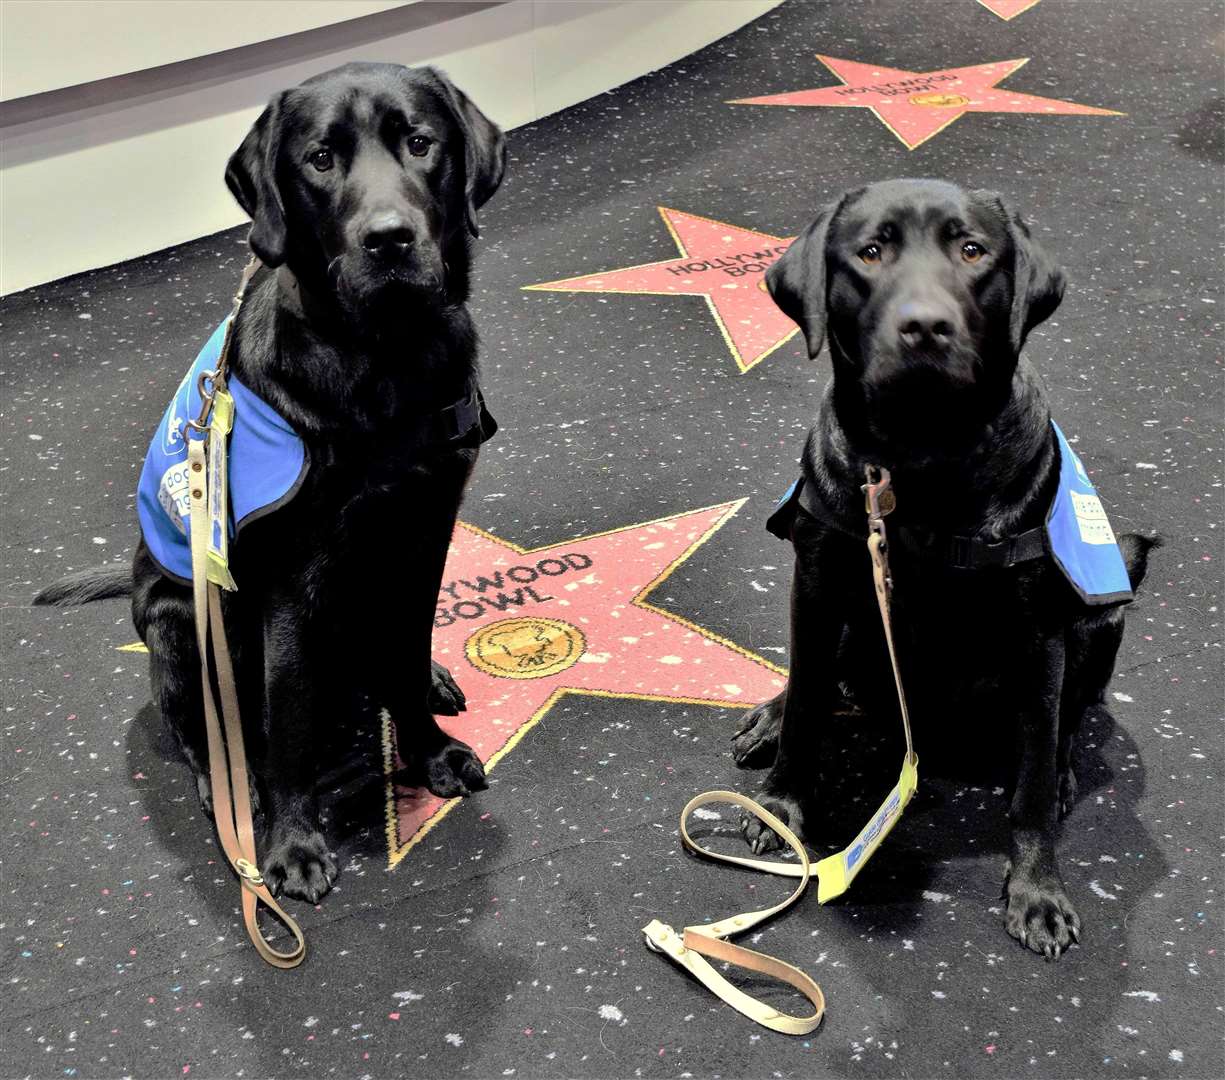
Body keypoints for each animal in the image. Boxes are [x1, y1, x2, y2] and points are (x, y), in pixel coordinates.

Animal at [34, 65, 502, 901]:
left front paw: (429, 750)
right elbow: (286, 724)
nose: (389, 238)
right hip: (186, 619)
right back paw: (233, 791)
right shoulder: (290, 584)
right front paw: (291, 843)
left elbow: (405, 653)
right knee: (206, 732)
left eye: (420, 142)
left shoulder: (425, 534)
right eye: (319, 158)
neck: (384, 364)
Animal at [730, 178, 1151, 960]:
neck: (923, 458)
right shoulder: (817, 578)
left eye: (973, 251)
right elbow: (806, 704)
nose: (924, 326)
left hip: (1102, 615)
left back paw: (1066, 767)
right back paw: (770, 716)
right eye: (869, 252)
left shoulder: (1037, 628)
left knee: (1065, 717)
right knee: (821, 682)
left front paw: (1036, 890)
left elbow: (1031, 779)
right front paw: (782, 803)